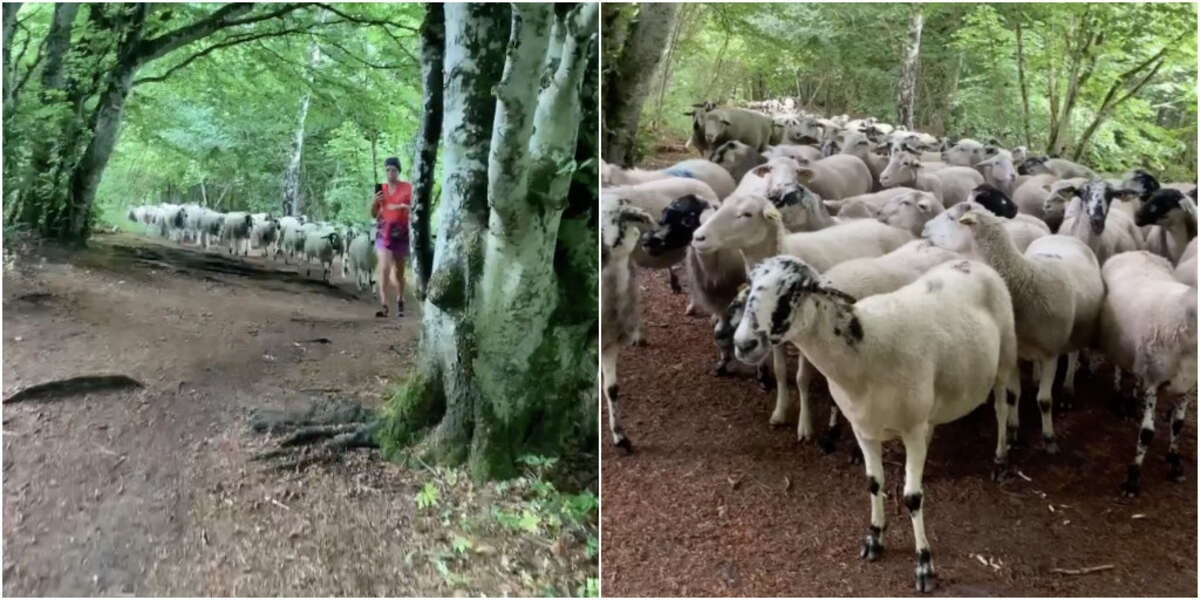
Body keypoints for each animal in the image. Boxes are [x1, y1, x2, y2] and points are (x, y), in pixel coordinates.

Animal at [724, 252, 1017, 590]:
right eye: (749, 286)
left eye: (794, 290)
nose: (744, 344)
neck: (864, 354)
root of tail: (975, 263)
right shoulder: (862, 429)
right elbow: (874, 482)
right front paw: (874, 538)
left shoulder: (911, 429)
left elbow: (912, 498)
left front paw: (924, 565)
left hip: (1005, 357)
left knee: (1001, 407)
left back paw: (1000, 459)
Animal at [1099, 249, 1200, 496]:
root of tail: (1135, 251)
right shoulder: (1154, 380)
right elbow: (1147, 433)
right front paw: (1133, 478)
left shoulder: (1186, 385)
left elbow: (1178, 425)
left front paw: (1174, 464)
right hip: (1118, 344)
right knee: (1118, 368)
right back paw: (1119, 399)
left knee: (1136, 378)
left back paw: (1132, 400)